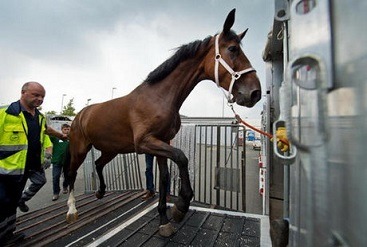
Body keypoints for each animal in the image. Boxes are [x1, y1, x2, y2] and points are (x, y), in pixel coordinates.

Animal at [65, 8, 262, 237]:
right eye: (232, 49)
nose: (255, 93)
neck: (158, 97)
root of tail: (81, 114)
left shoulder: (162, 142)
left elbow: (165, 177)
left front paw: (164, 220)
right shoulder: (145, 143)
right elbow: (182, 158)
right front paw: (181, 206)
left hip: (110, 149)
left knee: (97, 163)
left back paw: (100, 192)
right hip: (80, 149)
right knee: (71, 173)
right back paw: (71, 211)